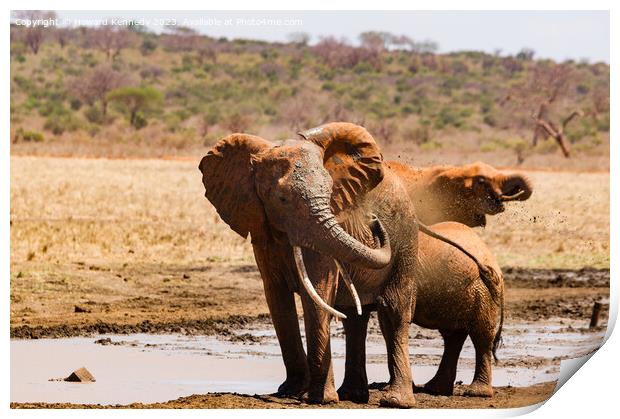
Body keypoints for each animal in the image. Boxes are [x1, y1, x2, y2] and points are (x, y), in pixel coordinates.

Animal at [199, 120, 426, 406]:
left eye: (329, 192)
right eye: (282, 199)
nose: (374, 222)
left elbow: (318, 292)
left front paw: (320, 399)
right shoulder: (263, 229)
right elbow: (277, 299)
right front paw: (290, 391)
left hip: (406, 238)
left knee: (394, 312)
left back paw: (395, 401)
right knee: (355, 319)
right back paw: (352, 395)